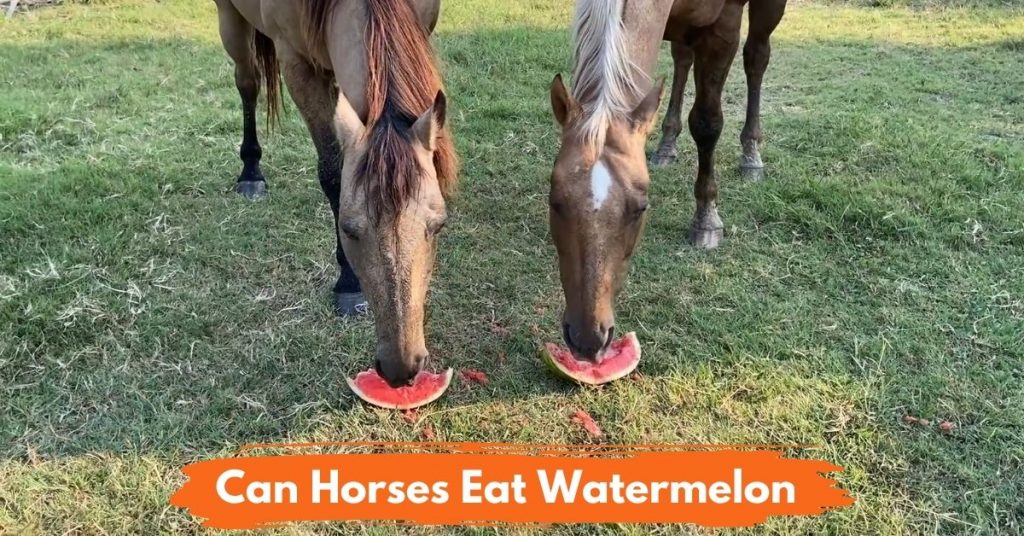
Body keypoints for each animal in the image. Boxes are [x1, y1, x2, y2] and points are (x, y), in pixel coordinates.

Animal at [213, 0, 459, 386]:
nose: (401, 367)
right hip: (231, 20)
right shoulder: (298, 65)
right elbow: (331, 173)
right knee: (248, 82)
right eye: (347, 228)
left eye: (438, 226)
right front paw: (347, 284)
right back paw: (250, 172)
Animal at [547, 0, 786, 360]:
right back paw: (667, 143)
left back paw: (751, 154)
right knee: (682, 60)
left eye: (641, 208)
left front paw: (706, 220)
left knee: (756, 58)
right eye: (555, 200)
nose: (589, 339)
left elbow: (707, 122)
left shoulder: (724, 29)